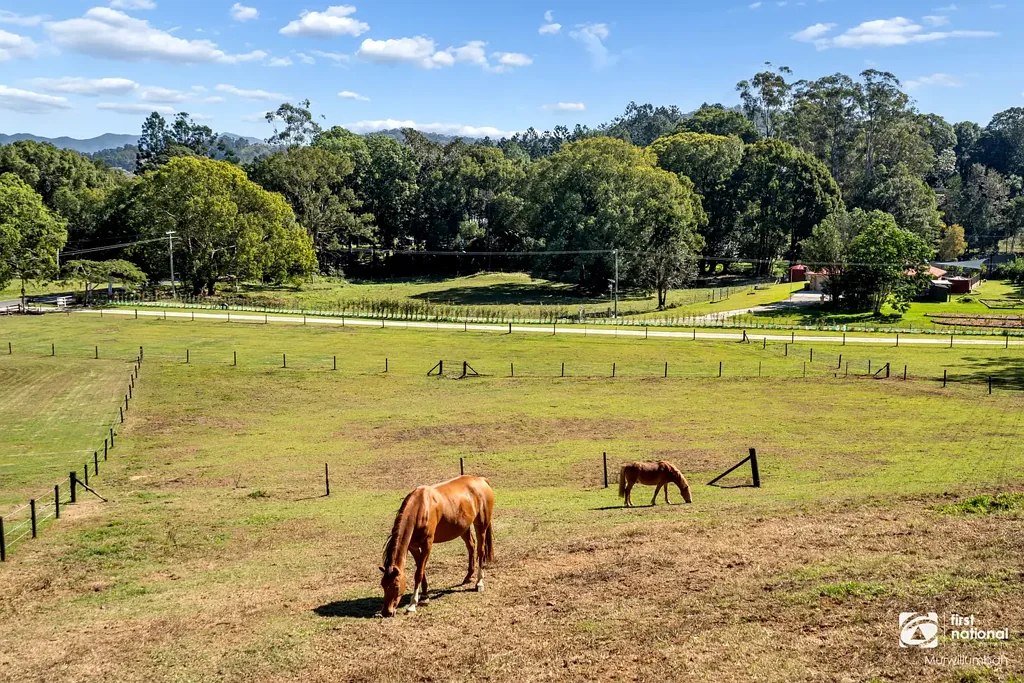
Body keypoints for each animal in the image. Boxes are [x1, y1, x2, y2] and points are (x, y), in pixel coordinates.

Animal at [379, 475, 495, 617]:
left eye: (396, 586)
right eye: (383, 585)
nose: (386, 612)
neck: (420, 508)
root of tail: (481, 480)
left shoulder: (427, 544)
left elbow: (418, 573)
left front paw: (412, 605)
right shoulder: (413, 547)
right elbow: (421, 570)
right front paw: (424, 596)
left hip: (481, 525)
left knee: (481, 550)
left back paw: (479, 582)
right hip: (463, 527)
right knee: (471, 546)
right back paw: (468, 577)